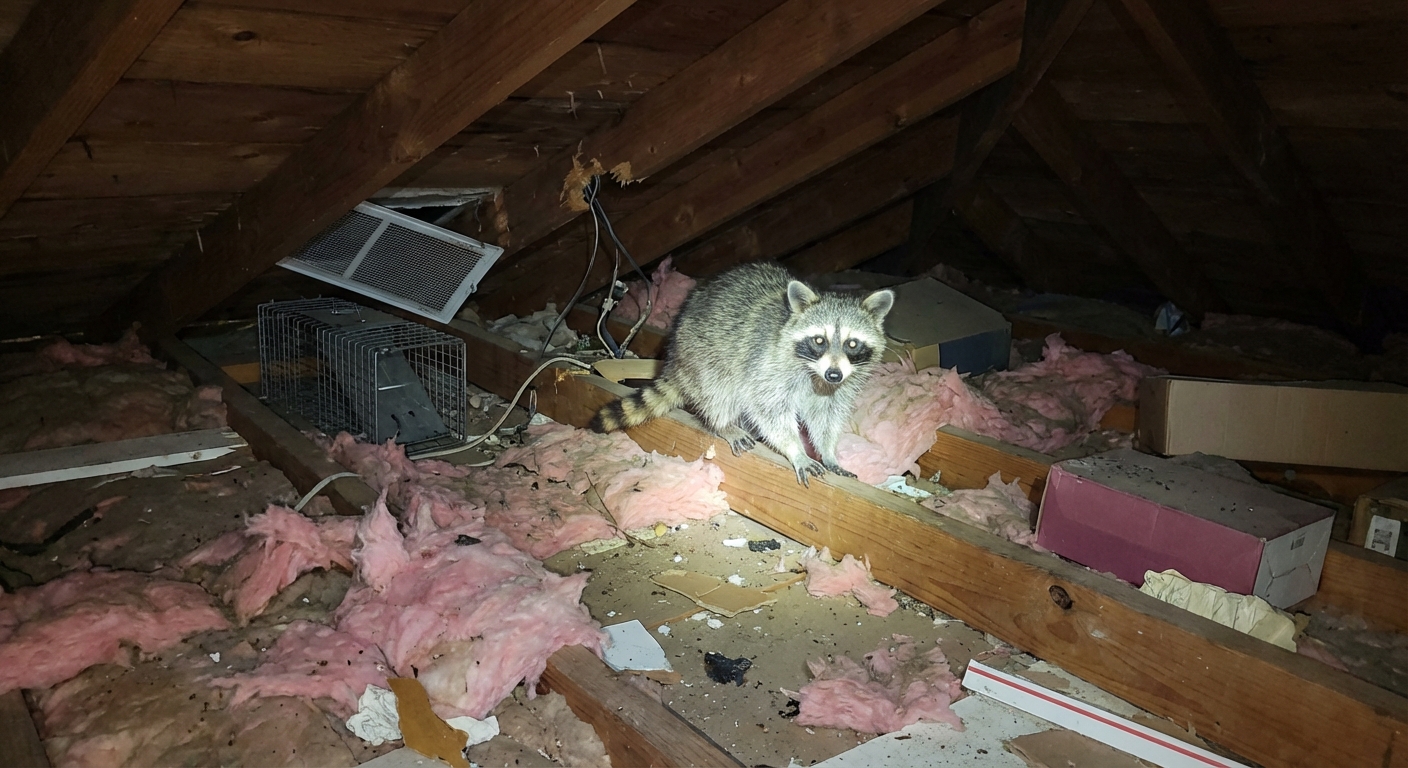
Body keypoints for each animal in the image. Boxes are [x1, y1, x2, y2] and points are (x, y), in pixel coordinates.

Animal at [591, 262, 895, 486]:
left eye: (852, 344)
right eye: (819, 340)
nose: (833, 375)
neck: (814, 372)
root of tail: (676, 360)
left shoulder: (839, 383)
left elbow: (826, 416)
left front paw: (828, 452)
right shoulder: (766, 365)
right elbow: (768, 409)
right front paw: (796, 449)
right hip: (703, 355)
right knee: (718, 388)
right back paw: (723, 423)